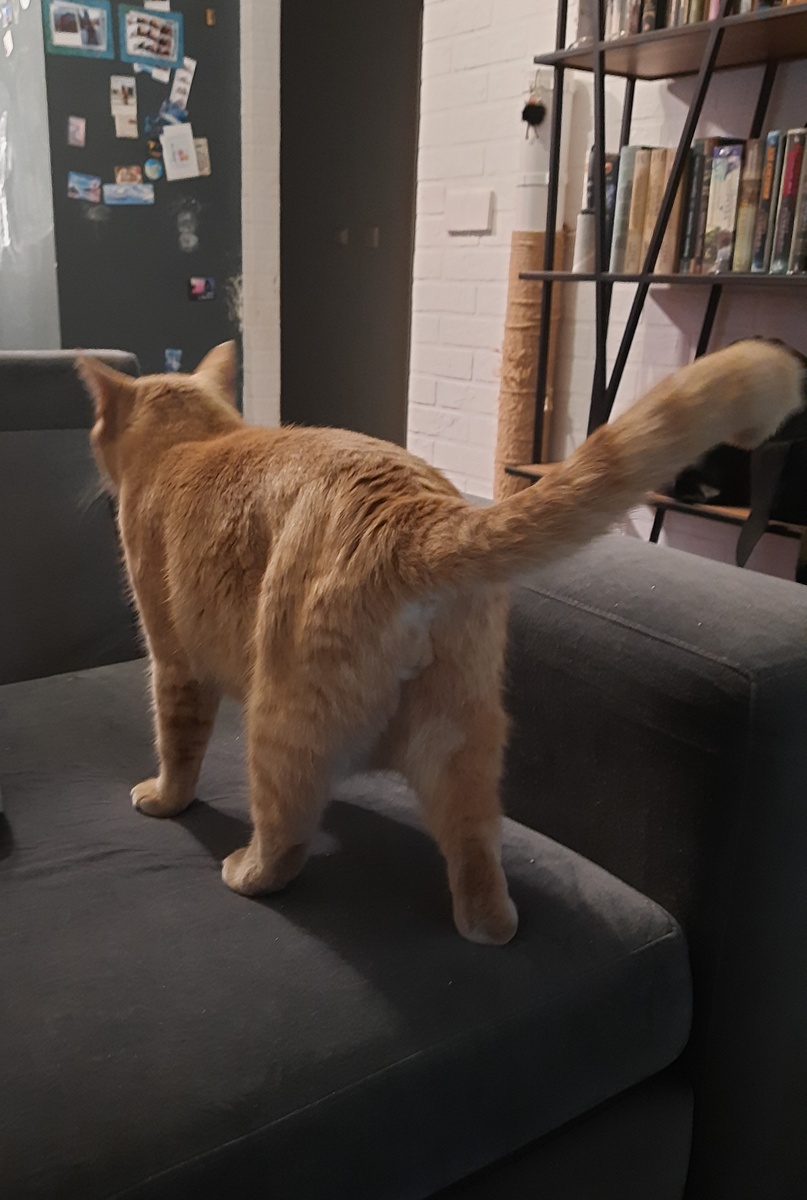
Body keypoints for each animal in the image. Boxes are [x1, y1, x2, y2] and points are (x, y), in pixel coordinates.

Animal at [79, 339, 805, 946]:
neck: (190, 445)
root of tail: (415, 515)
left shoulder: (173, 663)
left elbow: (178, 749)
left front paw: (163, 799)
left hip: (277, 715)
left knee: (285, 830)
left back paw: (247, 871)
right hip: (463, 739)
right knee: (476, 847)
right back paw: (488, 928)